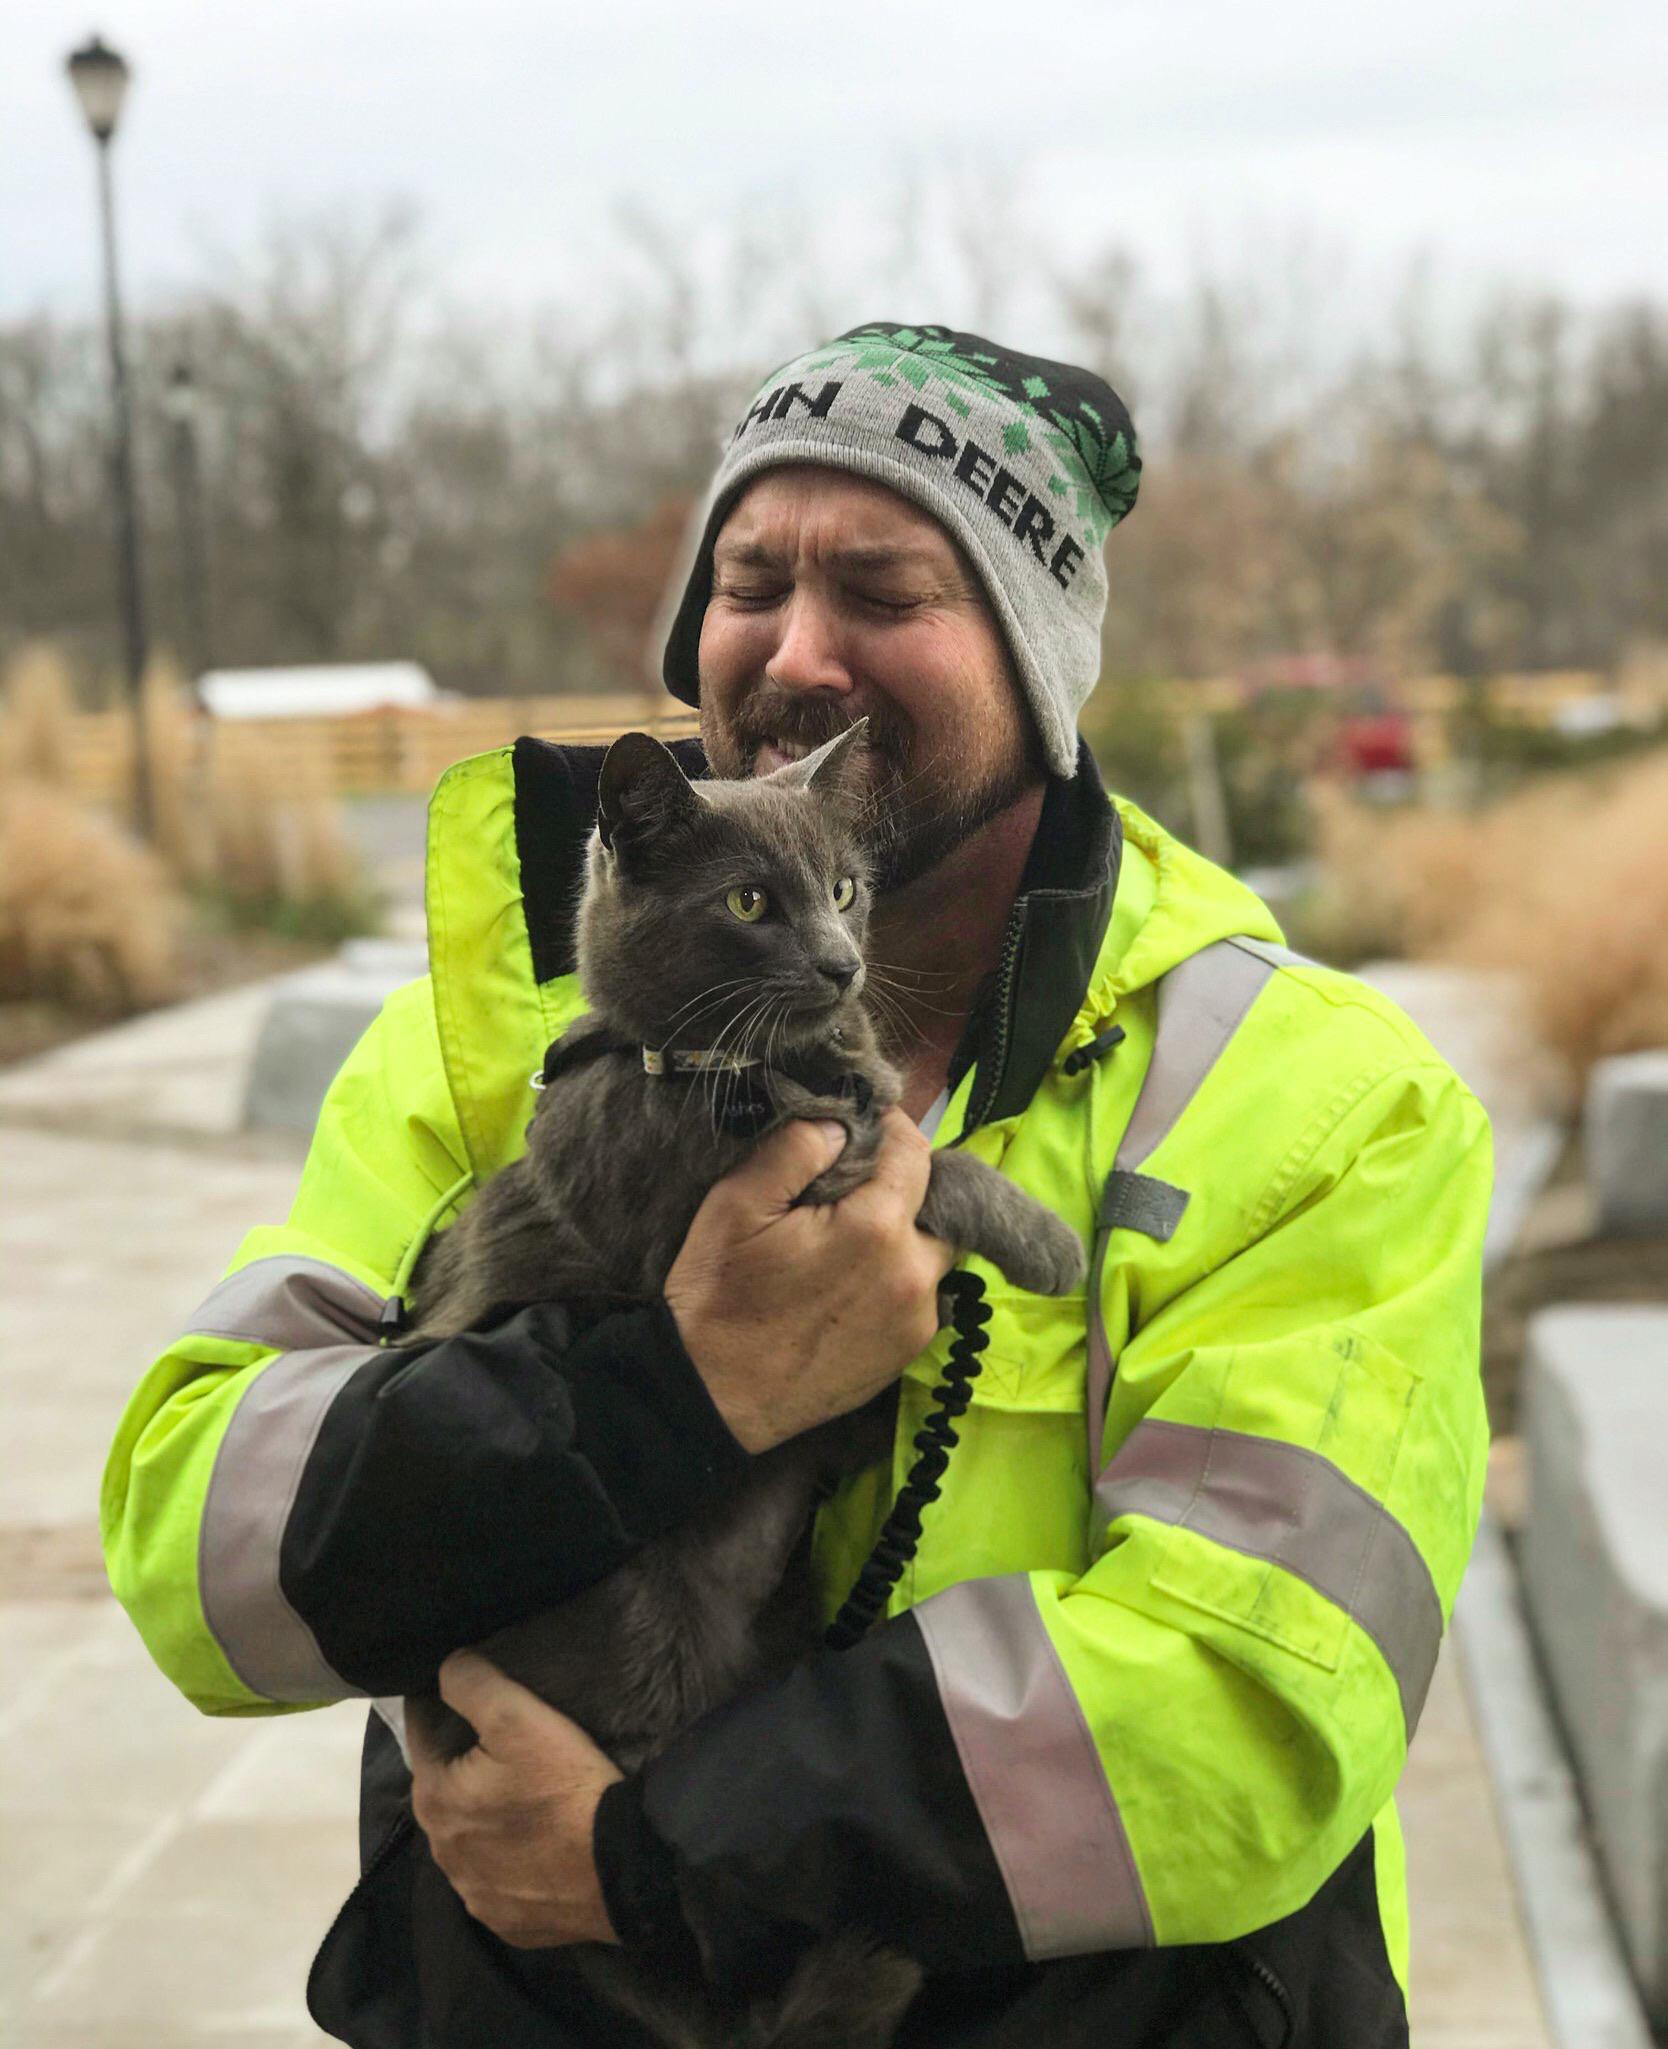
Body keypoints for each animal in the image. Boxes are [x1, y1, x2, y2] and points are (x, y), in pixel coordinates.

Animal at [401, 725, 1081, 2049]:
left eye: (848, 888)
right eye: (752, 903)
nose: (841, 960)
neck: (747, 1068)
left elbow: (904, 1140)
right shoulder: (725, 1207)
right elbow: (932, 1163)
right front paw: (1046, 1240)